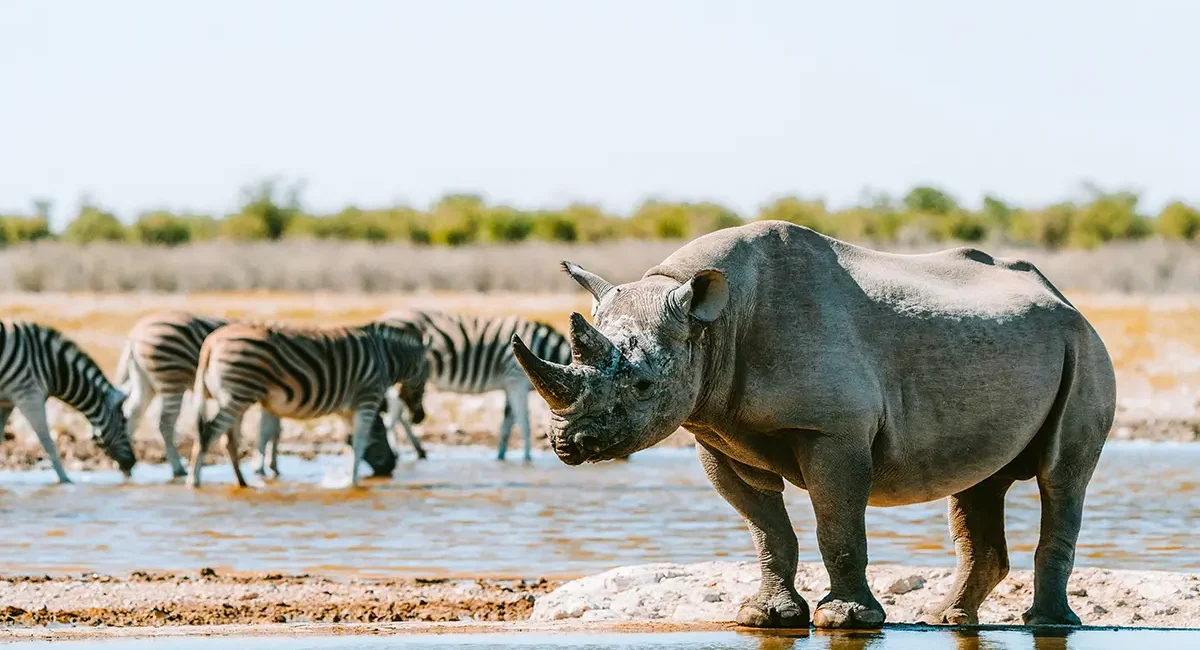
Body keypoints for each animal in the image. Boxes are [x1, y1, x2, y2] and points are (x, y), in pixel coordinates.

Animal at [0, 319, 134, 482]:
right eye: (124, 422)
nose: (133, 463)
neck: (52, 368)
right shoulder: (29, 396)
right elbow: (47, 441)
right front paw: (65, 480)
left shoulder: (6, 403)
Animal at [117, 310, 400, 479]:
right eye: (379, 432)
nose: (391, 467)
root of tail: (135, 333)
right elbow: (268, 431)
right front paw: (262, 467)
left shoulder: (275, 397)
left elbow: (274, 430)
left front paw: (271, 465)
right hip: (171, 380)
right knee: (165, 424)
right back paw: (177, 468)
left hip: (145, 382)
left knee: (131, 414)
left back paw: (124, 460)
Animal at [190, 319, 428, 488]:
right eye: (425, 379)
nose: (420, 417)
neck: (386, 358)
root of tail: (211, 342)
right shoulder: (368, 396)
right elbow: (361, 439)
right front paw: (353, 482)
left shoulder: (348, 406)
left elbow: (351, 440)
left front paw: (347, 477)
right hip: (238, 394)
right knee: (208, 434)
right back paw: (194, 481)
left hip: (235, 398)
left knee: (228, 441)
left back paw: (242, 483)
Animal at [380, 309, 572, 462]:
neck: (543, 352)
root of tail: (387, 316)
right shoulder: (517, 381)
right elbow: (524, 423)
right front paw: (527, 459)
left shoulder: (510, 385)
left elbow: (506, 425)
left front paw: (501, 457)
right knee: (394, 414)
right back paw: (396, 453)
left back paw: (419, 451)